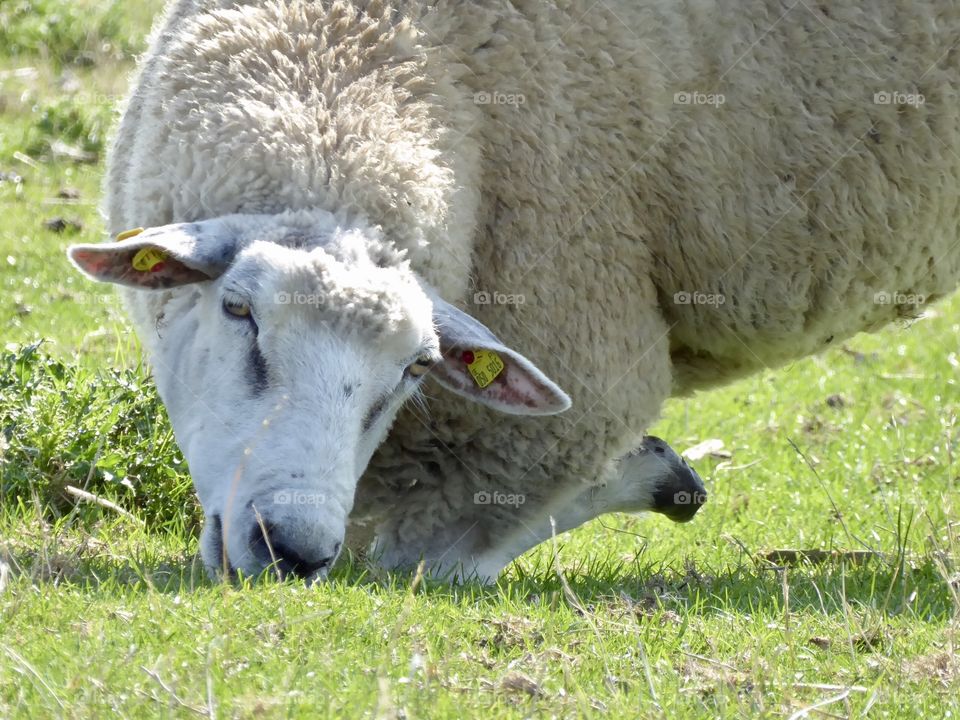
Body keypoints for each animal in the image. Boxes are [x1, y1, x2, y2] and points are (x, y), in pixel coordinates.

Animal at [70, 0, 960, 581]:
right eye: (238, 311)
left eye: (414, 370)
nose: (293, 551)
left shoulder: (580, 382)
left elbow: (427, 562)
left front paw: (652, 475)